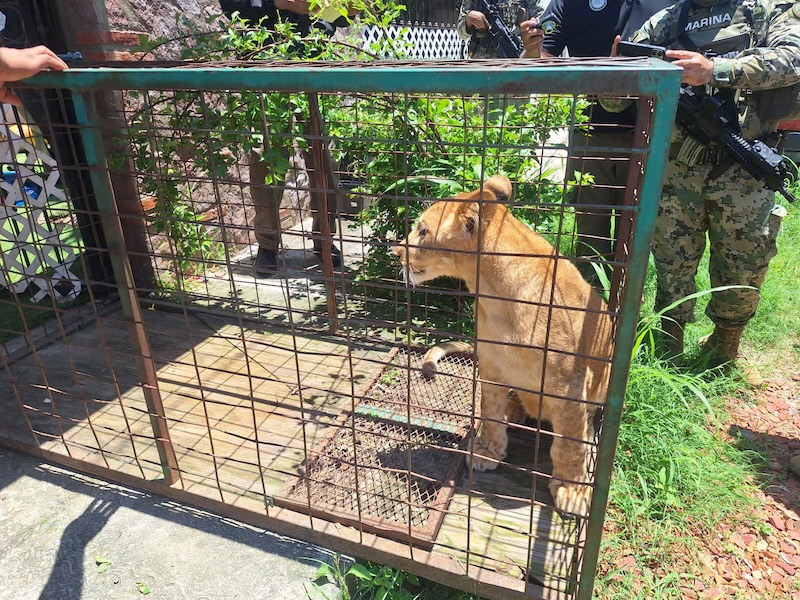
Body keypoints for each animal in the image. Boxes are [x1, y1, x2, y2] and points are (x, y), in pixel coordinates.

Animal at [393, 175, 612, 515]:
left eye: (423, 230)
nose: (395, 252)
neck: (492, 292)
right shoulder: (493, 365)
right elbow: (491, 411)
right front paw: (487, 450)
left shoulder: (570, 385)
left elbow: (570, 446)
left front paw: (572, 491)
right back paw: (516, 410)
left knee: (583, 426)